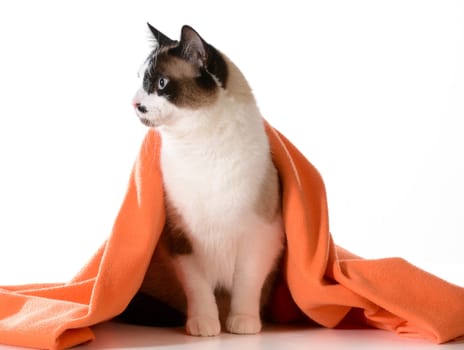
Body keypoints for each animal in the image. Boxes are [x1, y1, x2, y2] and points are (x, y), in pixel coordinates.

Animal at [130, 23, 282, 336]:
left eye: (161, 83)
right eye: (139, 81)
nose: (134, 103)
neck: (200, 149)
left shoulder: (259, 237)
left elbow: (246, 285)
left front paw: (242, 324)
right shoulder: (181, 240)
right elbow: (199, 291)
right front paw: (204, 326)